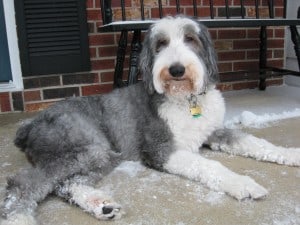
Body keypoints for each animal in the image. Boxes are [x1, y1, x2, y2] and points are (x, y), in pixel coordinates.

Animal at [0, 16, 300, 224]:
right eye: (161, 44)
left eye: (190, 39)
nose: (176, 69)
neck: (185, 99)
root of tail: (29, 125)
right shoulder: (160, 149)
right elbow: (210, 166)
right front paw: (243, 184)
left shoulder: (214, 131)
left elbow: (255, 142)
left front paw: (292, 154)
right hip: (84, 147)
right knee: (24, 183)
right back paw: (19, 217)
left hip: (101, 155)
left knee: (66, 184)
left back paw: (102, 205)